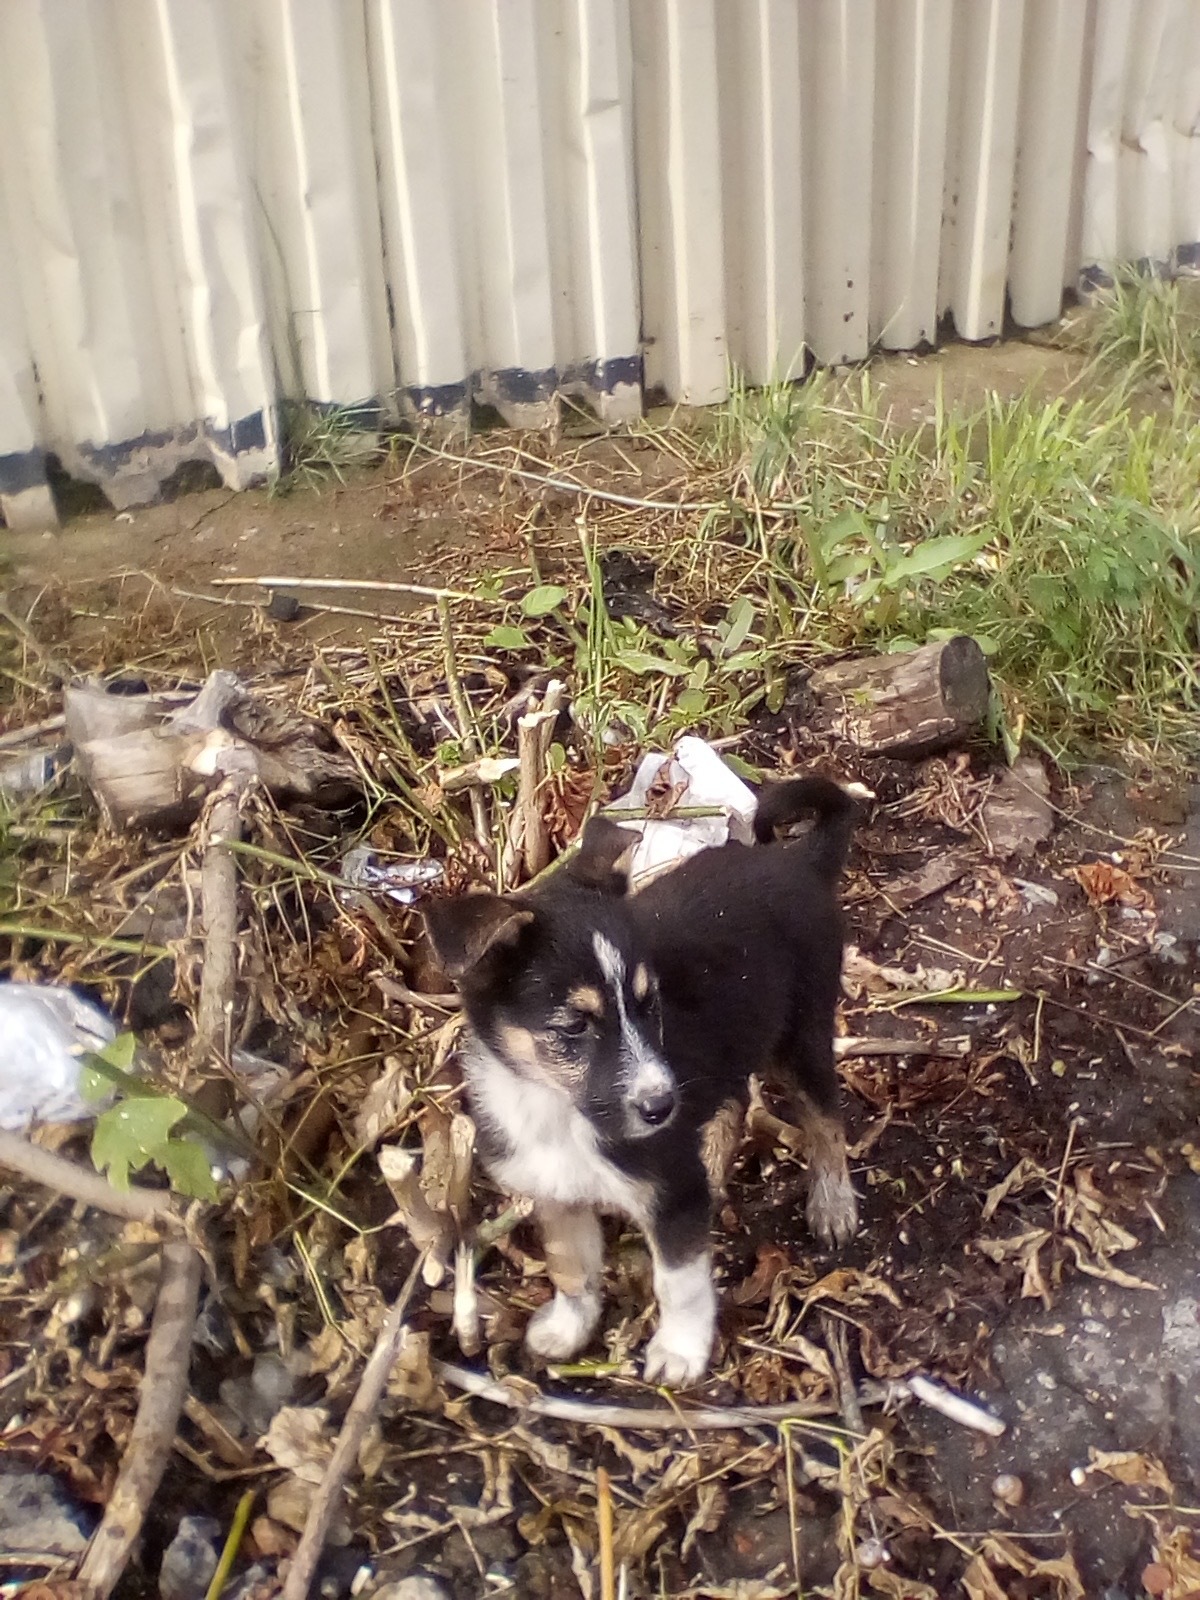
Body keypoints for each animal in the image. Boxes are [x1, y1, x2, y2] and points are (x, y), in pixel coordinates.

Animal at [428, 777, 857, 1388]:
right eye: (575, 1025)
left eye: (647, 1002)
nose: (661, 1108)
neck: (554, 1109)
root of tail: (796, 859)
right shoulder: (555, 1193)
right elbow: (570, 1267)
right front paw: (569, 1329)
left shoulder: (670, 1191)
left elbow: (679, 1283)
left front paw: (680, 1351)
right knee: (731, 1103)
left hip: (800, 1034)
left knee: (825, 1118)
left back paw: (833, 1205)